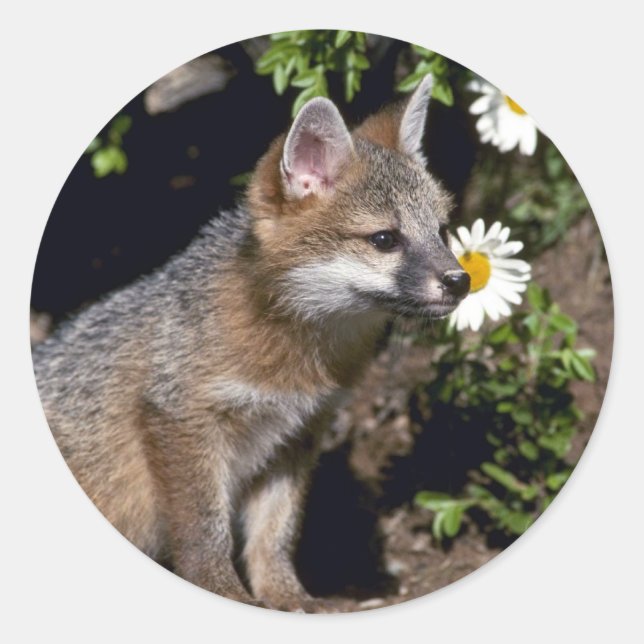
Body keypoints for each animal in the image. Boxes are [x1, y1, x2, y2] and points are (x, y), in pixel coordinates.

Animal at [32, 74, 470, 611]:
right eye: (385, 240)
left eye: (440, 231)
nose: (461, 281)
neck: (297, 358)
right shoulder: (180, 419)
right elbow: (206, 532)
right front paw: (224, 592)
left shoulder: (295, 434)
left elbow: (275, 532)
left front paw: (289, 598)